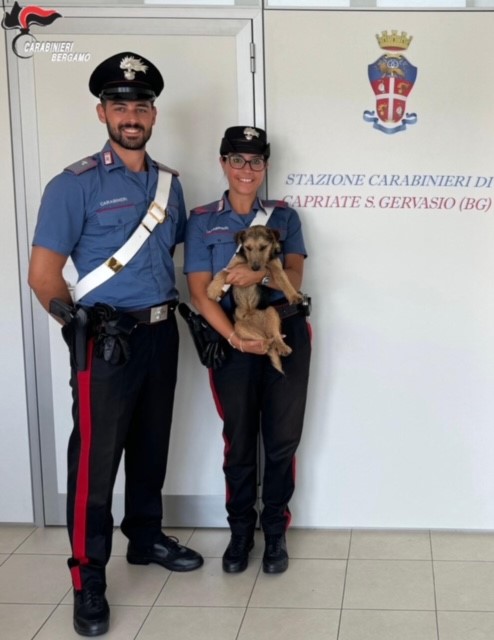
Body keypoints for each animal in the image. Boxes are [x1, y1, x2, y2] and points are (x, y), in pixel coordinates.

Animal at [206, 226, 302, 372]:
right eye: (247, 248)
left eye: (263, 247)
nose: (255, 268)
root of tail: (260, 327)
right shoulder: (233, 266)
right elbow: (222, 273)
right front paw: (212, 289)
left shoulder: (276, 266)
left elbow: (284, 280)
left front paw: (293, 295)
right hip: (240, 327)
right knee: (264, 340)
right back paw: (269, 343)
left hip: (271, 312)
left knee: (275, 335)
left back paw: (282, 347)